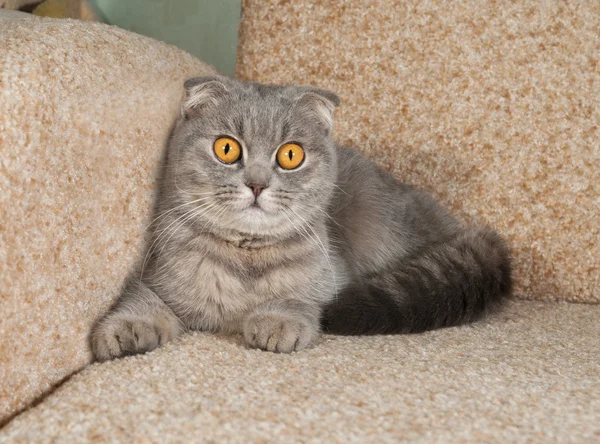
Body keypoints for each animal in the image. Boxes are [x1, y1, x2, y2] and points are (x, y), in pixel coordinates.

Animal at [89, 76, 510, 360]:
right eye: (226, 149)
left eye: (290, 155)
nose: (257, 184)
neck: (245, 259)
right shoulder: (156, 275)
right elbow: (142, 298)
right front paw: (127, 327)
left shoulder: (328, 279)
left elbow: (299, 297)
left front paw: (277, 320)